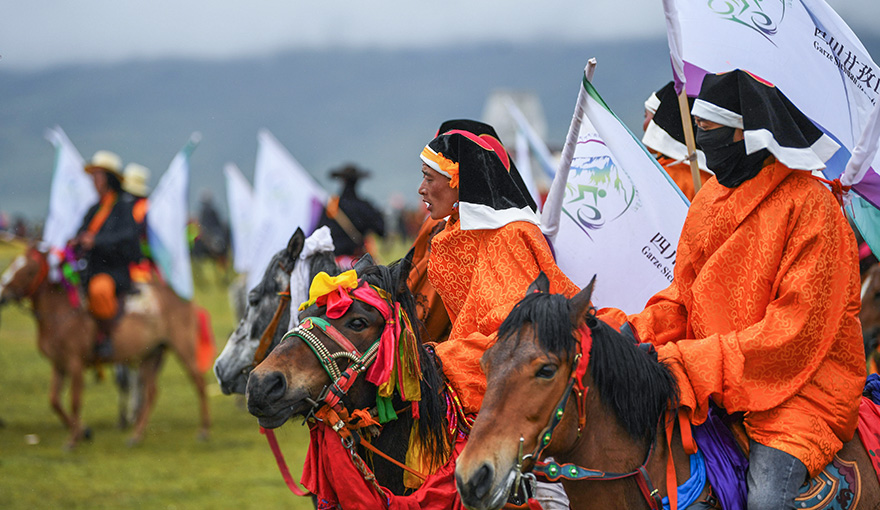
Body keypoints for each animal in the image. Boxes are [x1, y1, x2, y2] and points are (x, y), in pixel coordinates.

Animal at [0, 248, 211, 450]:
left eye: (29, 271)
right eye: (13, 264)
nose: (2, 295)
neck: (61, 312)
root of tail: (185, 296)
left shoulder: (75, 363)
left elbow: (75, 401)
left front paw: (73, 440)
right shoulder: (58, 364)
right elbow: (54, 400)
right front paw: (83, 432)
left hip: (183, 348)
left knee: (199, 383)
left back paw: (203, 430)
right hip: (151, 354)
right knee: (150, 393)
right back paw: (136, 435)